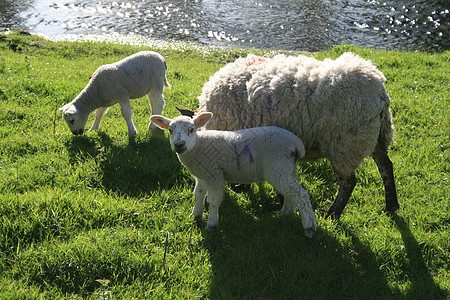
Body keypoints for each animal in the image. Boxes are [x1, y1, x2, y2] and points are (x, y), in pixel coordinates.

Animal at [150, 111, 316, 238]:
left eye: (191, 129)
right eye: (170, 130)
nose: (179, 145)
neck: (198, 146)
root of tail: (295, 141)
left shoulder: (214, 174)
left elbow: (213, 201)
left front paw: (211, 224)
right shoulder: (201, 175)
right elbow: (198, 194)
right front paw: (195, 215)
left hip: (278, 167)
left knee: (300, 194)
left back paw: (309, 228)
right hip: (287, 168)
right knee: (290, 193)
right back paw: (285, 215)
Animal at [187, 52, 400, 219]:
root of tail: (380, 93)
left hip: (345, 145)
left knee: (348, 182)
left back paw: (332, 214)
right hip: (377, 136)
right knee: (386, 167)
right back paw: (391, 206)